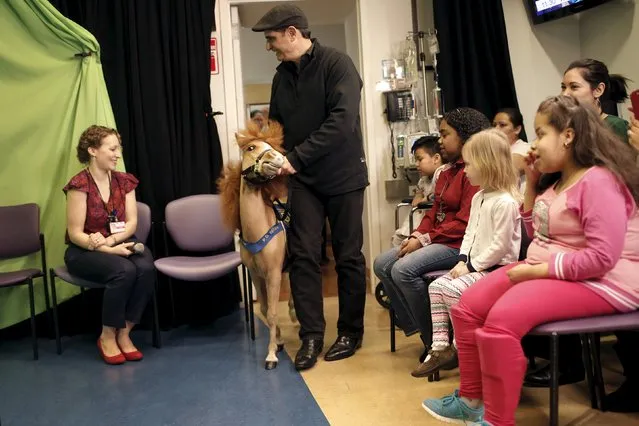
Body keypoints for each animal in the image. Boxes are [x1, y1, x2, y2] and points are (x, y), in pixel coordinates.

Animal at [216, 120, 294, 370]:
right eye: (251, 147)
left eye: (271, 146)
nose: (278, 159)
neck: (257, 230)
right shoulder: (256, 274)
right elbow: (264, 309)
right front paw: (278, 342)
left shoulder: (273, 273)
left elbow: (272, 312)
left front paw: (271, 355)